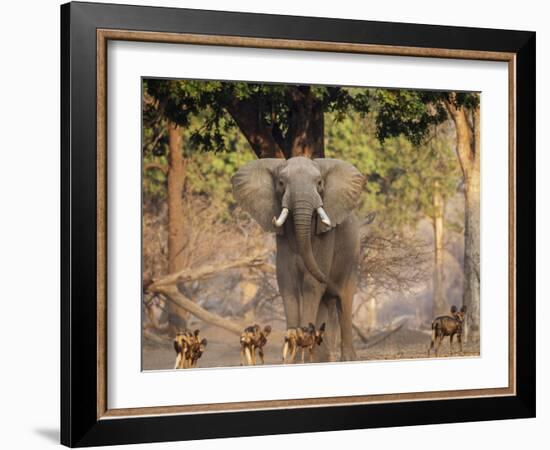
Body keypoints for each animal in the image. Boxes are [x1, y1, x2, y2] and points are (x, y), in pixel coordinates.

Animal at [233, 156, 366, 360]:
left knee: (344, 300)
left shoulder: (326, 238)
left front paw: (299, 354)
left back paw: (347, 359)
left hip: (352, 255)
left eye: (319, 183)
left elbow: (311, 285)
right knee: (326, 301)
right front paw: (292, 357)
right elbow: (287, 284)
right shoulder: (282, 242)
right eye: (281, 183)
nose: (328, 279)